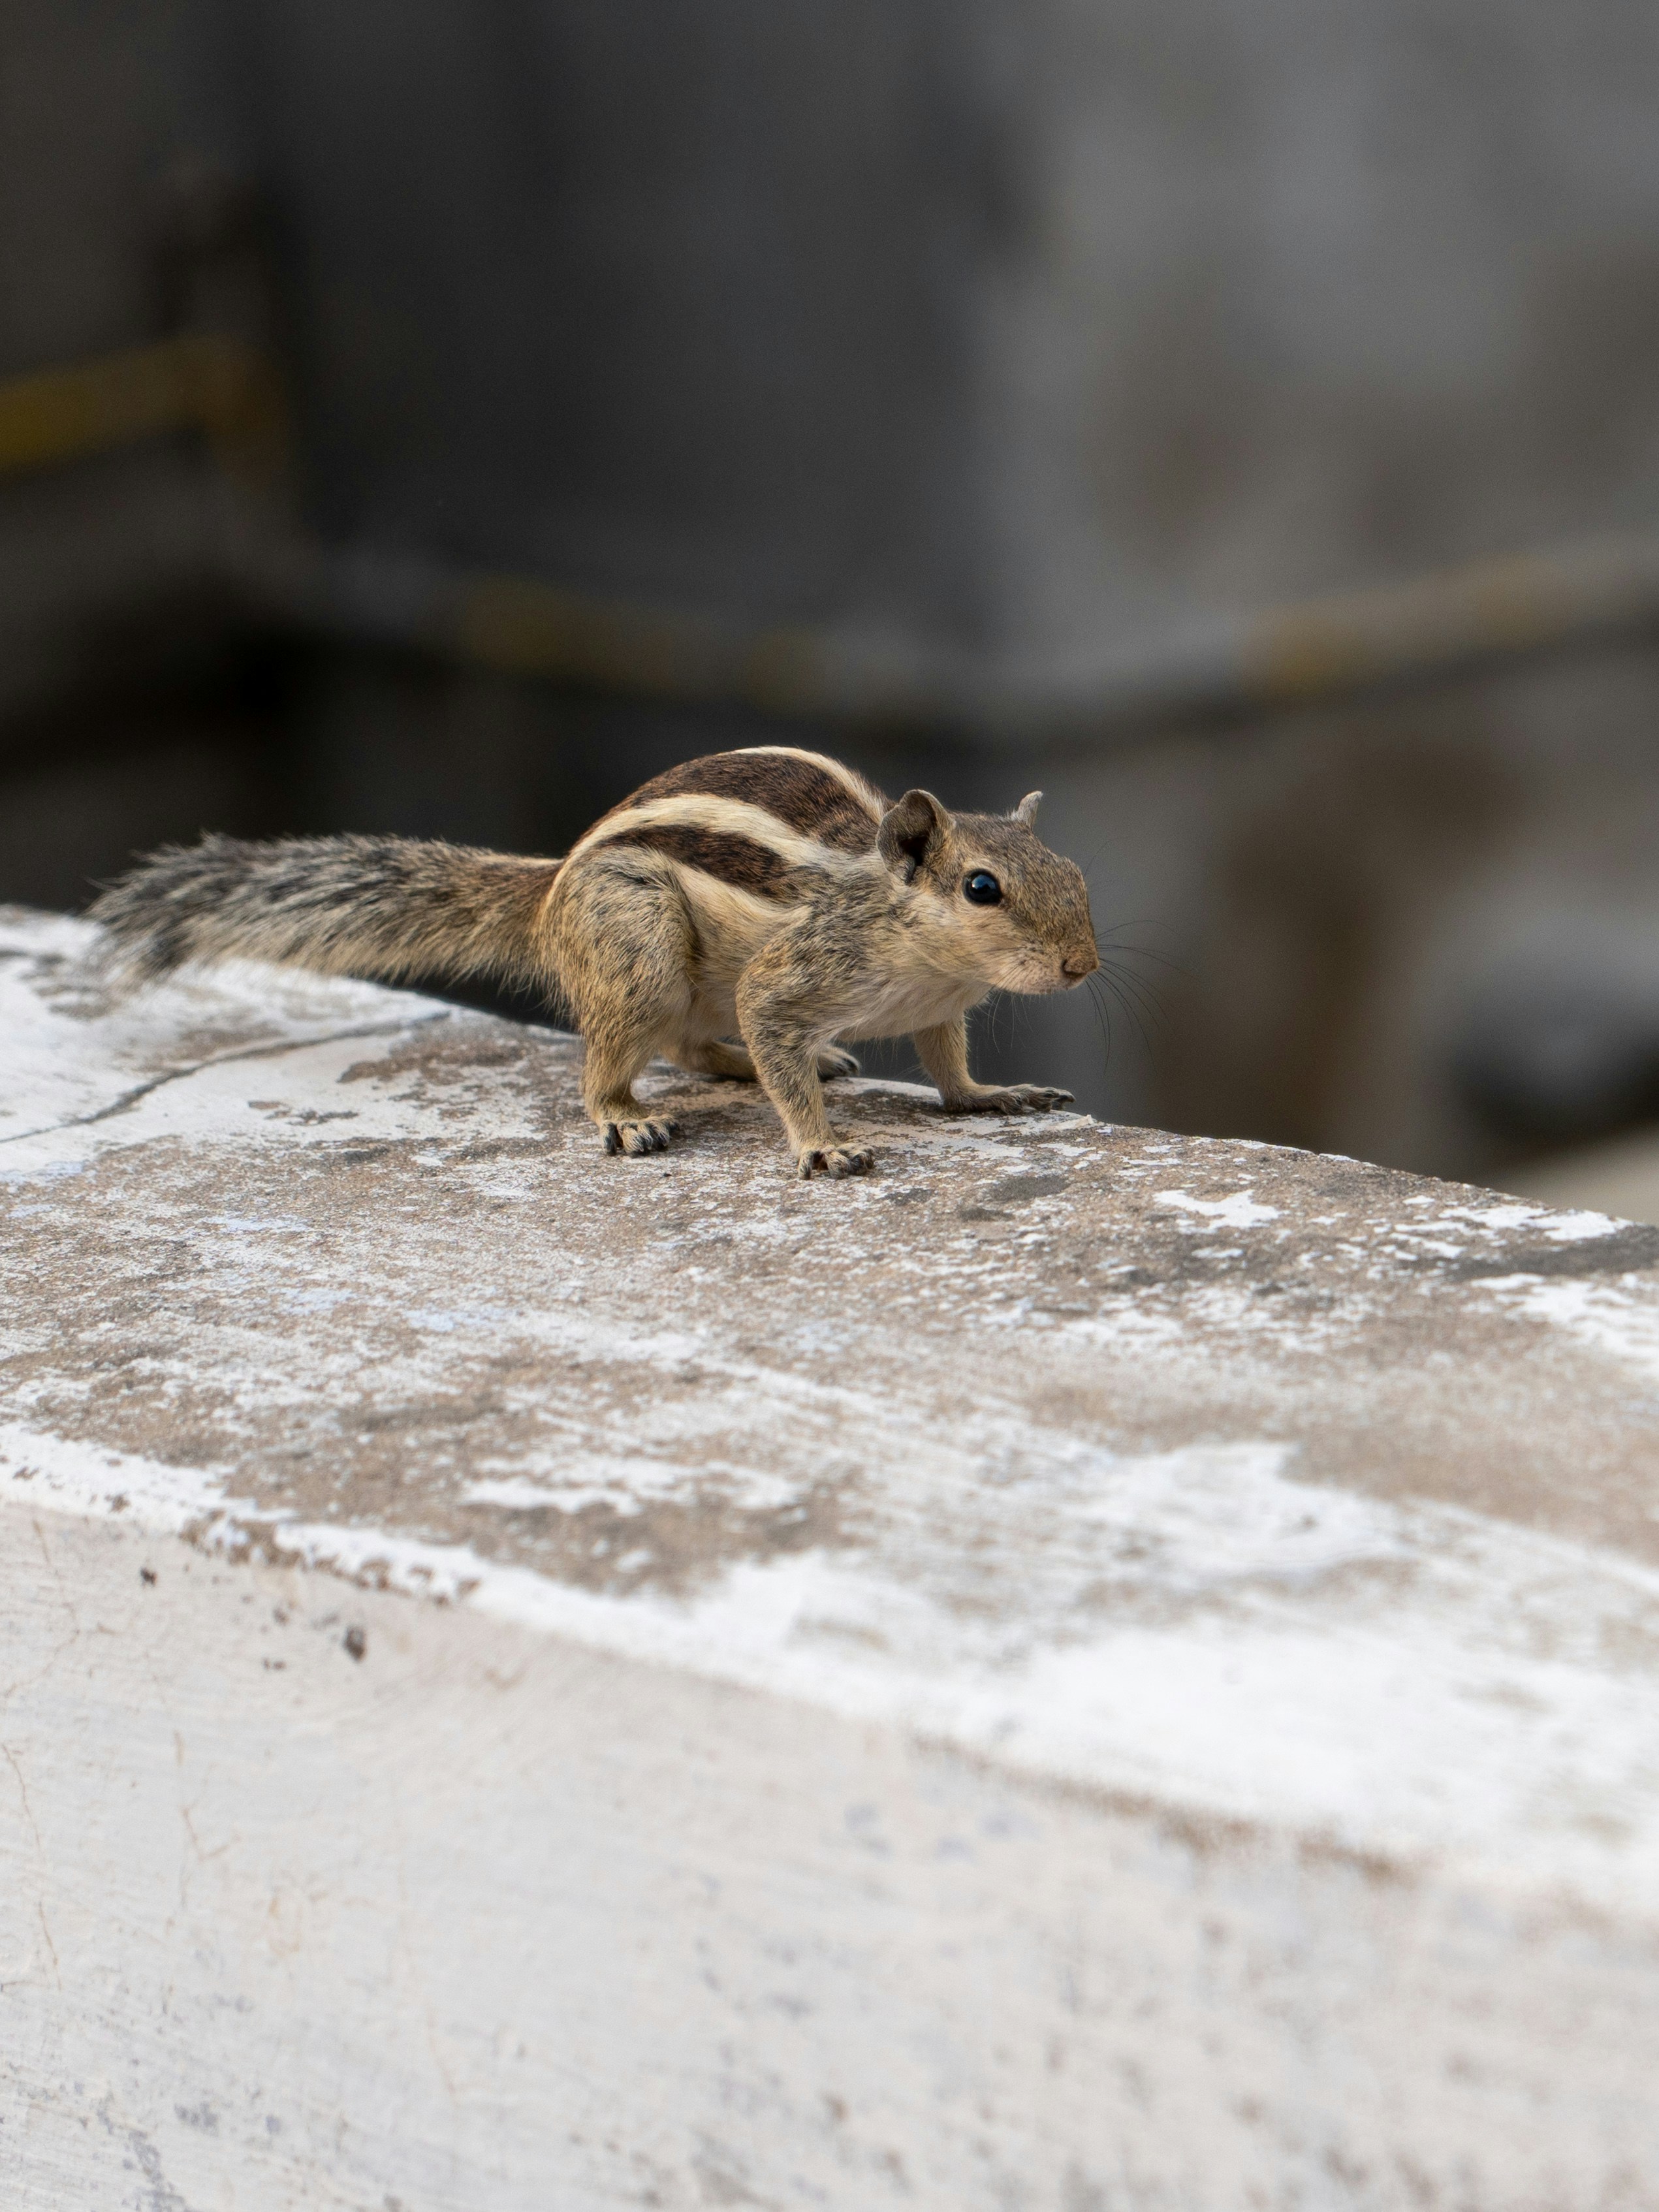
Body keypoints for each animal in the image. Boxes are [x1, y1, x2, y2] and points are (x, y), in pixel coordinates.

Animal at [90, 745, 1100, 1178]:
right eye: (981, 888)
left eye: (1075, 872)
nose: (1083, 967)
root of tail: (547, 899)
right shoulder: (792, 972)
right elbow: (772, 1020)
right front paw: (819, 1142)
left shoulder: (937, 1005)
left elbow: (947, 1064)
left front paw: (990, 1096)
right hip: (637, 940)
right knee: (614, 1060)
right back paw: (625, 1117)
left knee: (692, 1045)